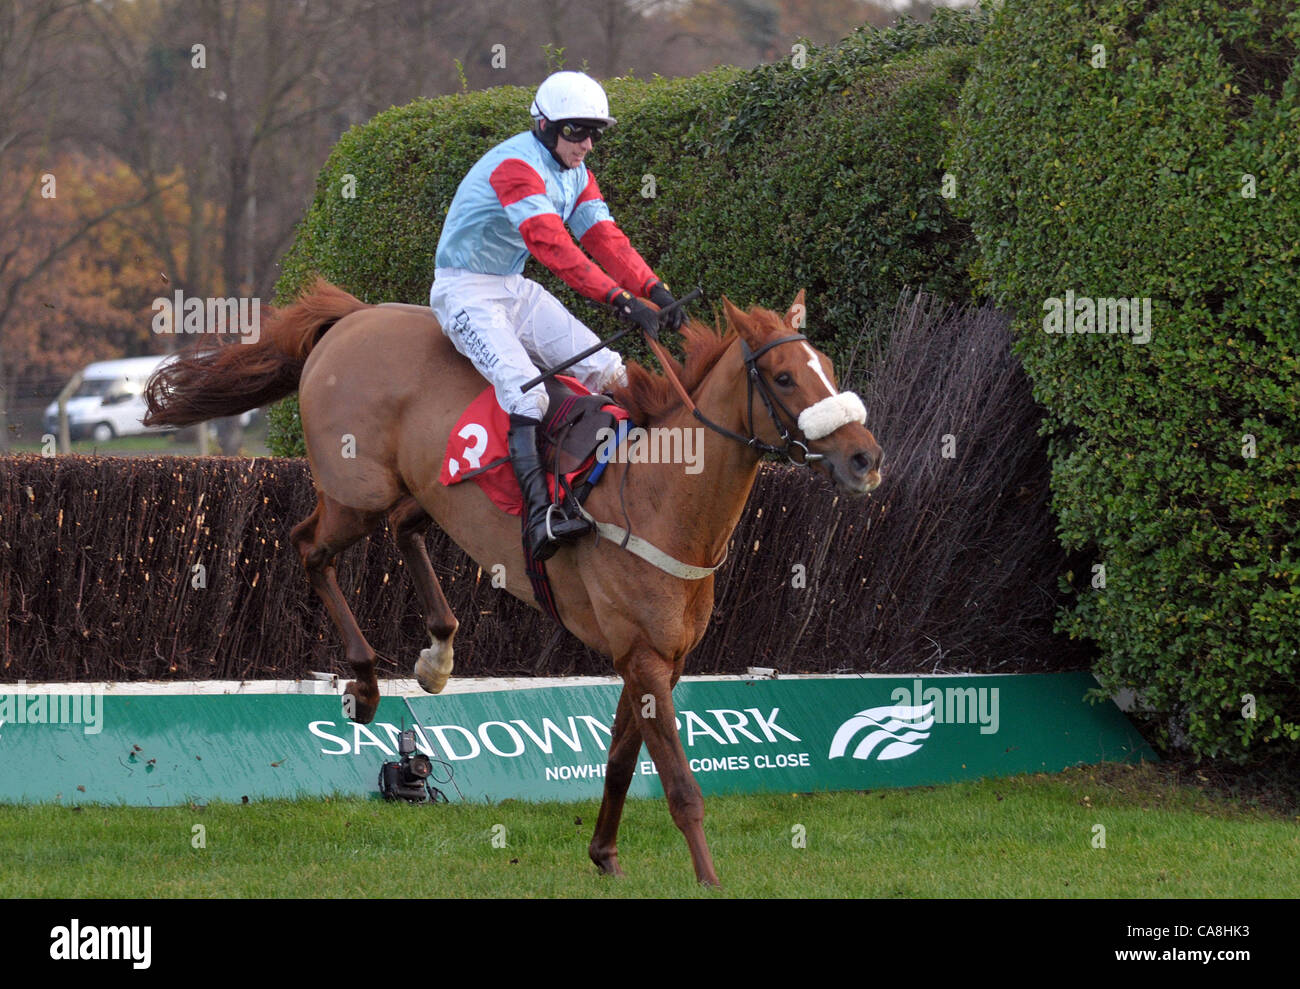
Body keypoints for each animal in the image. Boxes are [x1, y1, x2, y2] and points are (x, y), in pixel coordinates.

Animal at [144, 279, 883, 888]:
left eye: (827, 369)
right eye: (784, 377)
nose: (865, 457)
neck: (660, 492)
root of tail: (354, 316)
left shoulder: (654, 658)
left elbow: (620, 762)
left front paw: (604, 855)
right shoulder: (643, 656)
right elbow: (679, 783)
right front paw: (707, 879)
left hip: (423, 490)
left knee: (403, 530)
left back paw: (438, 651)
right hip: (358, 493)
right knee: (307, 548)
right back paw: (364, 682)